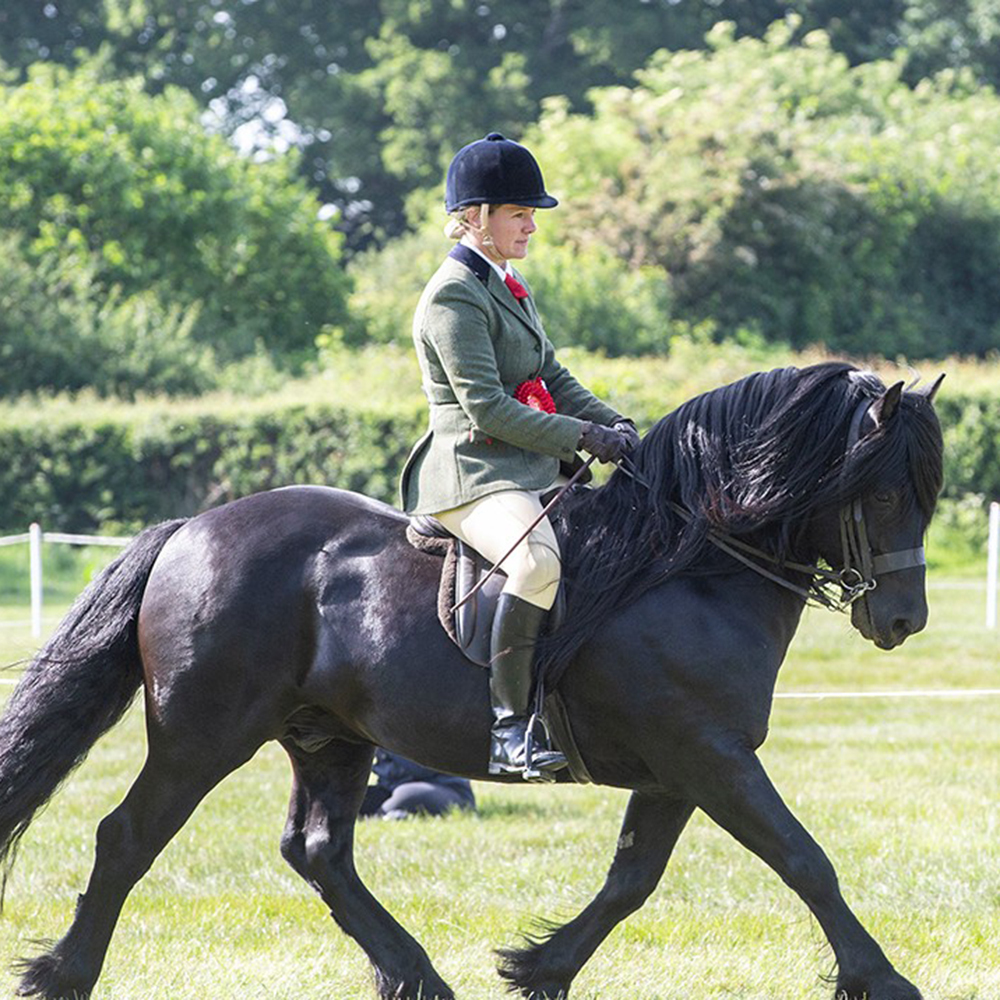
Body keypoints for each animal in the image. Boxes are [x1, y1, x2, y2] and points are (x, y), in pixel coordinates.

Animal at [0, 361, 943, 1000]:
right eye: (885, 494)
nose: (903, 623)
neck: (689, 567)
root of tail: (194, 528)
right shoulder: (710, 757)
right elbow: (804, 859)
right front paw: (884, 979)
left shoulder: (683, 768)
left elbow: (632, 879)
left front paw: (539, 966)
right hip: (201, 735)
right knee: (127, 837)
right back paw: (62, 974)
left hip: (328, 736)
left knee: (319, 851)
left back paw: (417, 975)